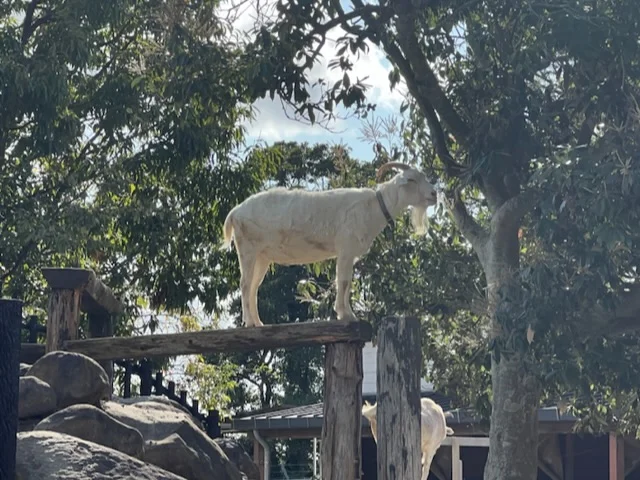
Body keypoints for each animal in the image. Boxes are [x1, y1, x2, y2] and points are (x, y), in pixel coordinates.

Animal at [221, 161, 440, 326]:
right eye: (412, 179)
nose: (434, 194)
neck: (374, 206)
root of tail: (235, 212)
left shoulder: (349, 253)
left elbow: (346, 282)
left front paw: (347, 313)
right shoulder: (345, 248)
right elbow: (343, 282)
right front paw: (347, 315)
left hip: (262, 256)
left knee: (254, 286)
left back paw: (258, 323)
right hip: (247, 248)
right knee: (245, 284)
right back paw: (250, 323)